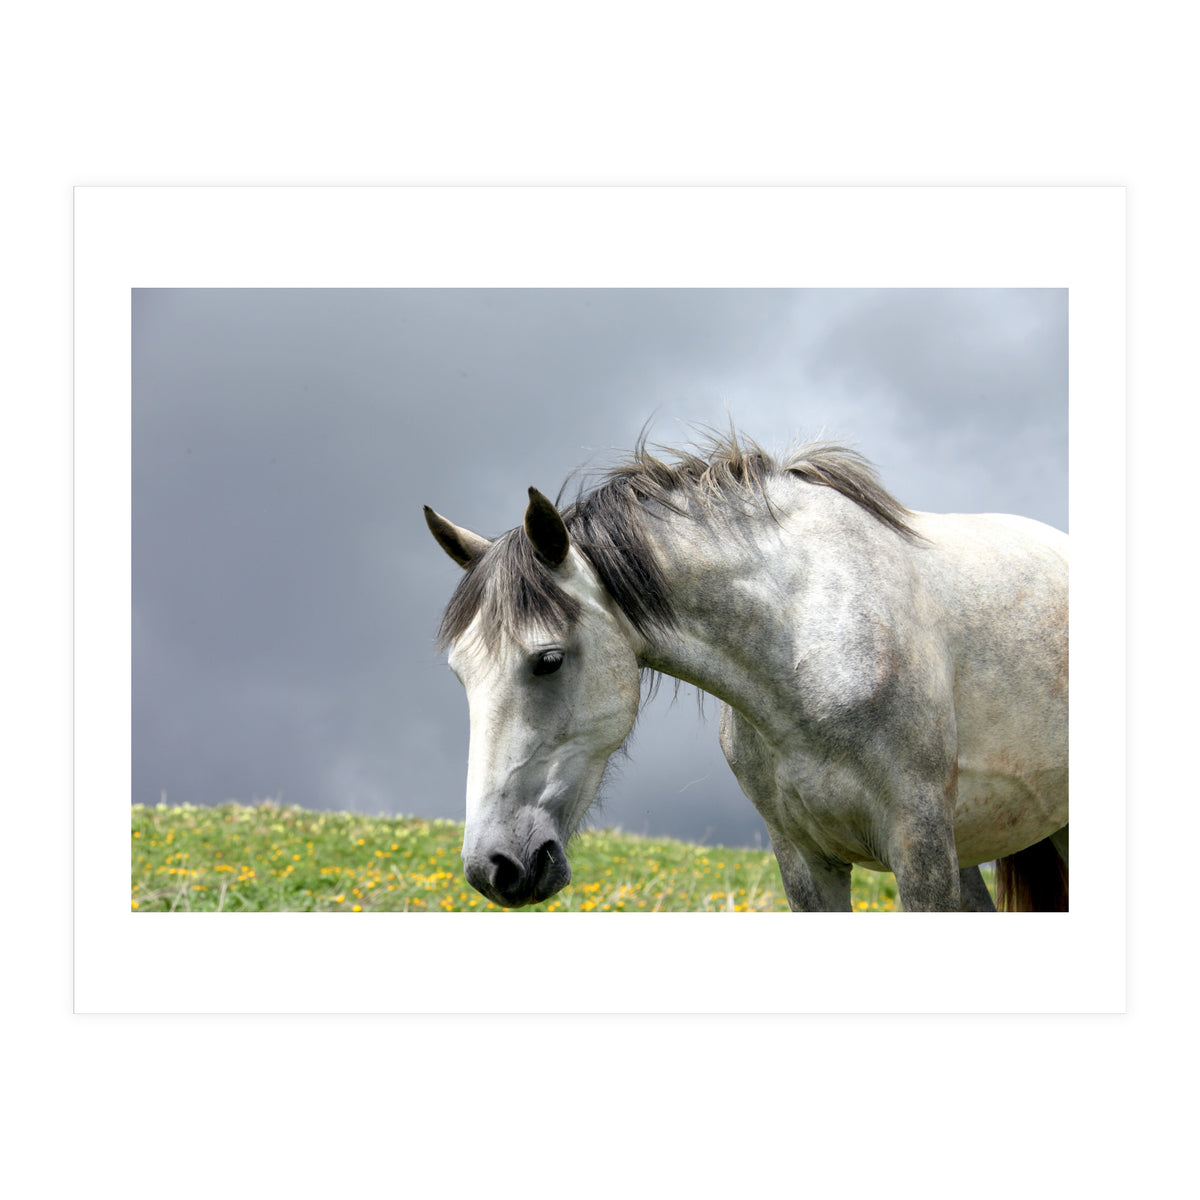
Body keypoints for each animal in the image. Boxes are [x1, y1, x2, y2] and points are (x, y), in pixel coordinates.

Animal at [424, 430, 1068, 912]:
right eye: (459, 675)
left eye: (549, 660)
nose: (493, 867)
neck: (808, 645)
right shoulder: (804, 860)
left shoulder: (920, 845)